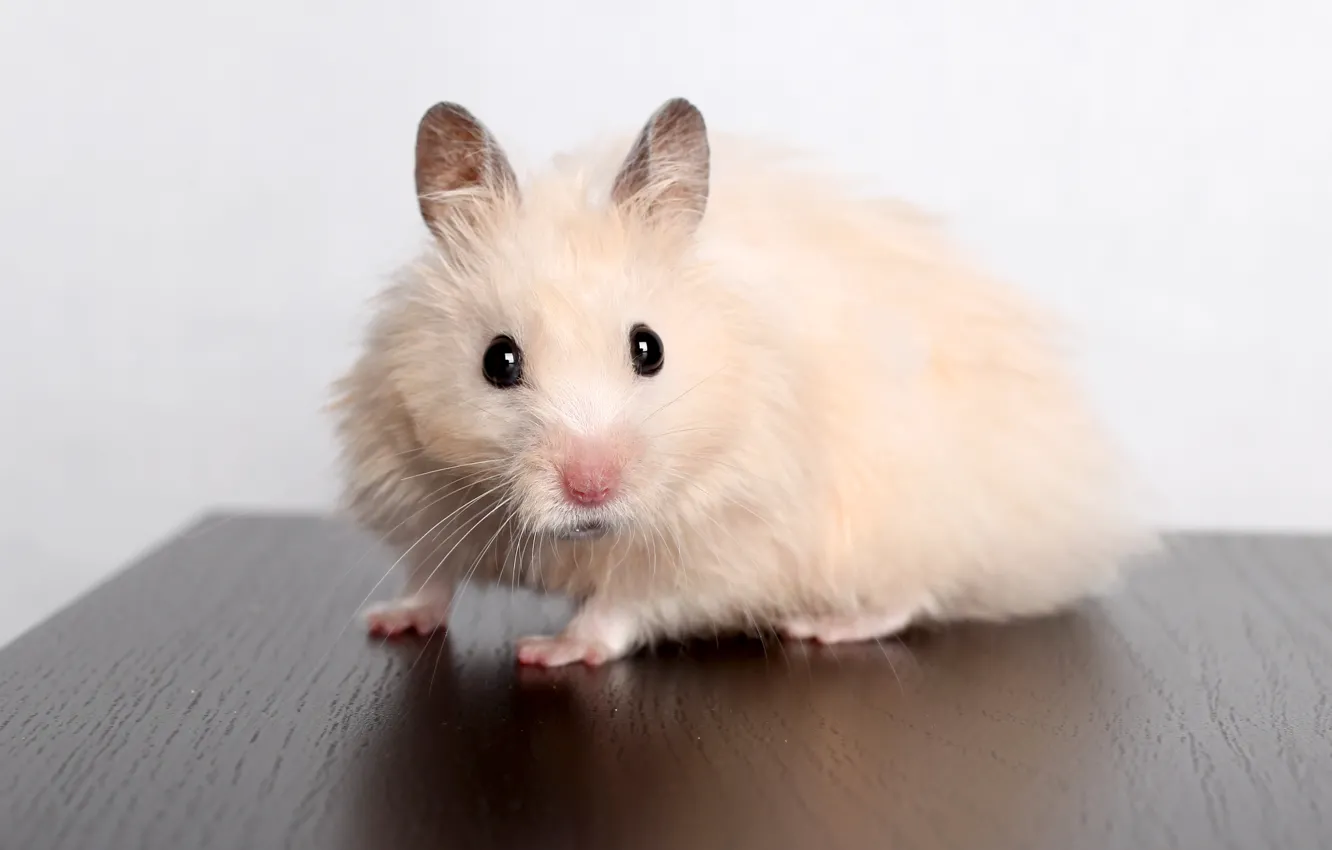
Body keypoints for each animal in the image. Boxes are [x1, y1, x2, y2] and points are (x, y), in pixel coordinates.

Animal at [330, 96, 1154, 668]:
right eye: (498, 361)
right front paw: (389, 621)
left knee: (913, 594)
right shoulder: (419, 487)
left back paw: (821, 628)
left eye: (649, 348)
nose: (591, 487)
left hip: (914, 518)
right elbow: (430, 573)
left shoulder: (720, 543)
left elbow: (624, 605)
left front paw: (549, 653)